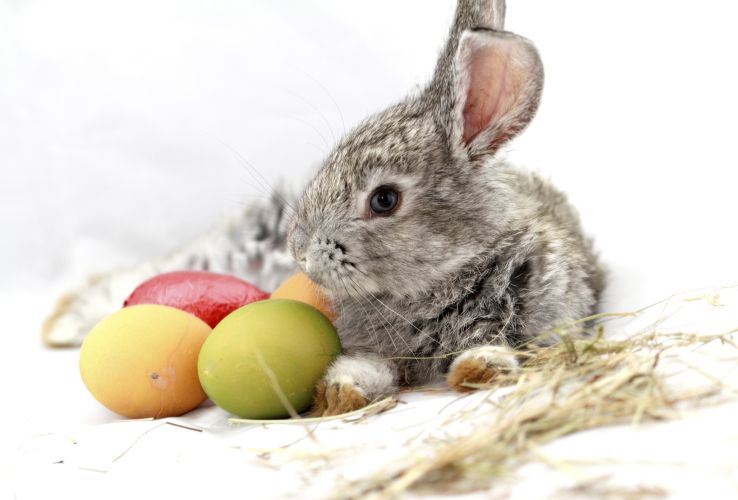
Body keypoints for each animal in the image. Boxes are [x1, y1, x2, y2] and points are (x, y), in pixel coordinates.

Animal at [43, 0, 600, 416]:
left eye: (384, 200)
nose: (301, 254)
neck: (442, 278)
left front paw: (478, 369)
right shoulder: (365, 343)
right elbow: (366, 367)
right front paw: (341, 392)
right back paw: (64, 321)